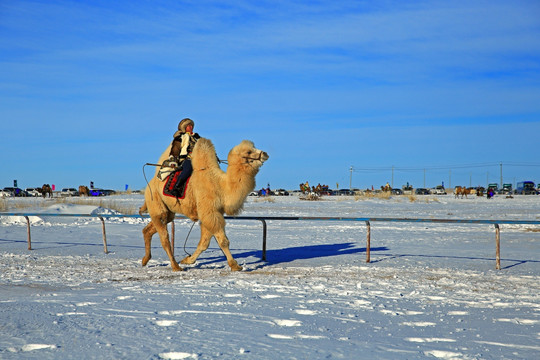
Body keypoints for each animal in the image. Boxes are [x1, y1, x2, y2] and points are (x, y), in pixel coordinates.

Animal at [138, 137, 266, 270]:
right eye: (249, 152)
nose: (265, 154)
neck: (221, 186)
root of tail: (150, 184)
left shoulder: (212, 213)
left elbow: (204, 243)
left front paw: (188, 260)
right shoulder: (209, 212)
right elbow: (223, 241)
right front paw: (235, 265)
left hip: (168, 212)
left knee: (148, 230)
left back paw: (145, 260)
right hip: (155, 202)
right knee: (164, 238)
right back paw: (176, 267)